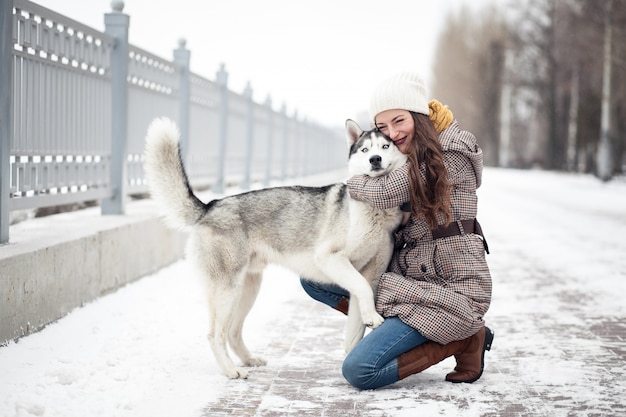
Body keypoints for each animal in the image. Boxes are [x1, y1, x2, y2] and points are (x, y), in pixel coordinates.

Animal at [143, 116, 404, 376]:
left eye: (385, 146)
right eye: (365, 150)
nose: (375, 159)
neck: (376, 209)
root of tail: (211, 206)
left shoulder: (371, 273)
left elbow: (358, 312)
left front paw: (355, 346)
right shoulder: (330, 257)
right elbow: (362, 289)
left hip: (248, 288)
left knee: (233, 331)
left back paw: (248, 360)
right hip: (227, 290)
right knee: (215, 334)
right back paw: (230, 370)